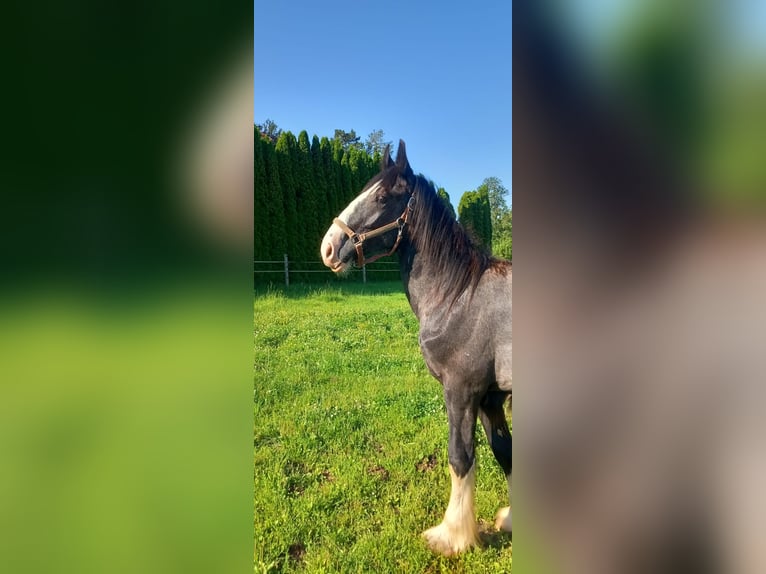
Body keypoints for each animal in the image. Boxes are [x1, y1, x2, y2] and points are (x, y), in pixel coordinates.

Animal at [320, 141, 512, 555]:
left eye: (381, 196)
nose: (328, 247)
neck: (458, 296)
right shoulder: (490, 398)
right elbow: (505, 451)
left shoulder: (461, 392)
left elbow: (460, 457)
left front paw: (452, 536)